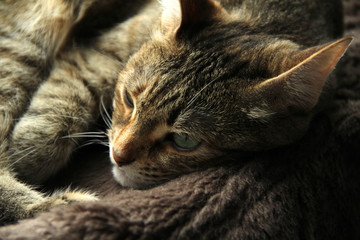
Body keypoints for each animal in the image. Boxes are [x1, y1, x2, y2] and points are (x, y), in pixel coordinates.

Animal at [0, 0, 350, 224]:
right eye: (128, 99)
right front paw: (27, 161)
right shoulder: (100, 52)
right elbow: (56, 108)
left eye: (184, 141)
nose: (118, 155)